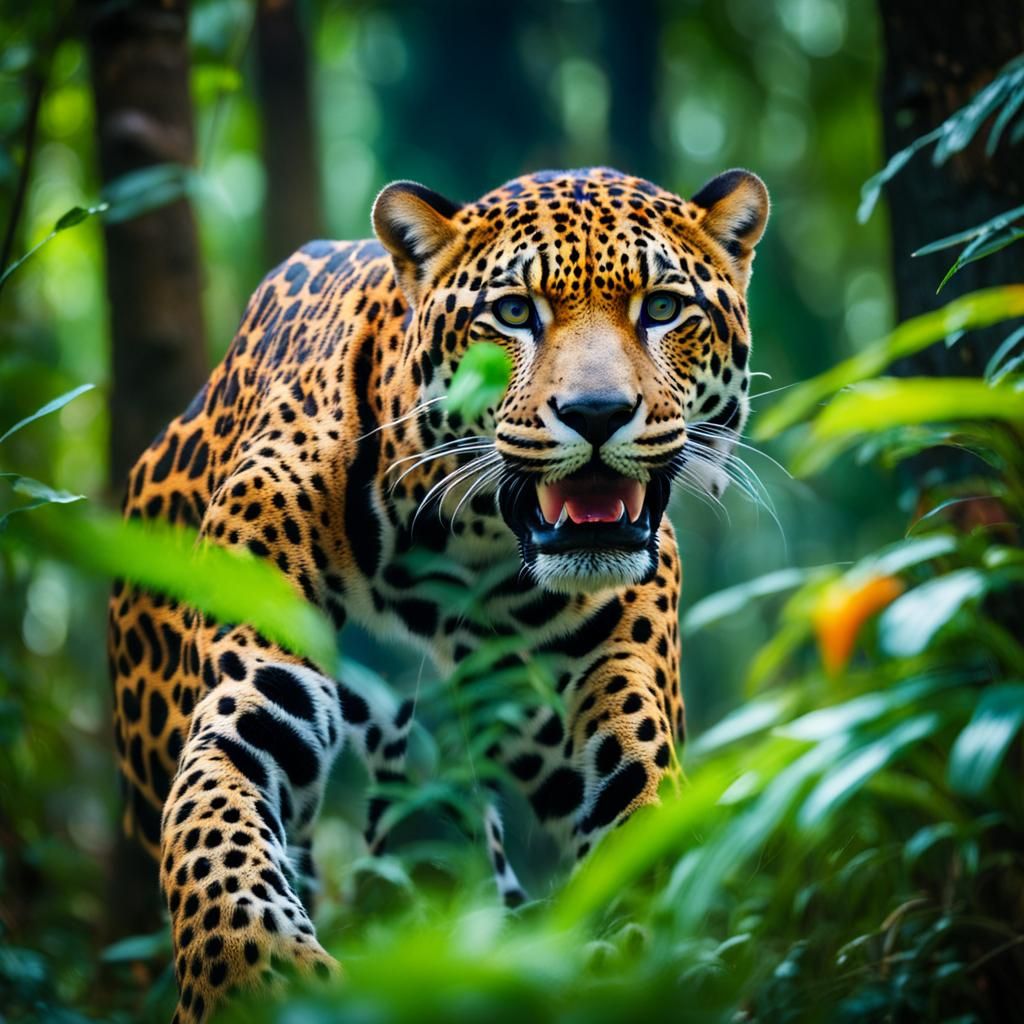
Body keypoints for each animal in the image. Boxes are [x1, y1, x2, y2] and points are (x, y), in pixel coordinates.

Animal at [107, 166, 768, 1021]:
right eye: (514, 313)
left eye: (661, 308)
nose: (596, 414)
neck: (463, 544)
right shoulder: (257, 693)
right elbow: (215, 821)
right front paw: (259, 980)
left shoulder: (611, 680)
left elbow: (641, 811)